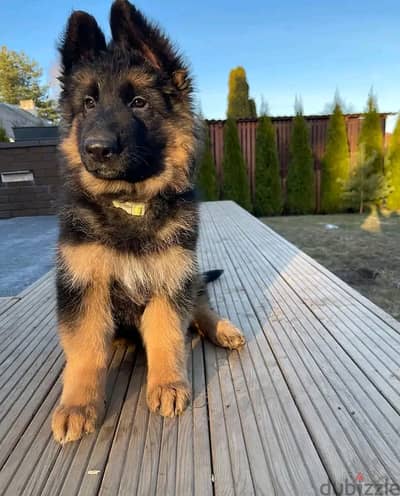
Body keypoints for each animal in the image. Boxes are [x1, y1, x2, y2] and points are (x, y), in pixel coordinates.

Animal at [51, 0, 245, 442]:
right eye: (88, 104)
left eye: (138, 103)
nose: (97, 149)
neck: (129, 204)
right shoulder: (83, 286)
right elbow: (85, 350)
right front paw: (77, 406)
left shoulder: (170, 278)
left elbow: (167, 334)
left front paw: (167, 385)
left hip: (189, 274)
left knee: (200, 306)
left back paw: (222, 328)